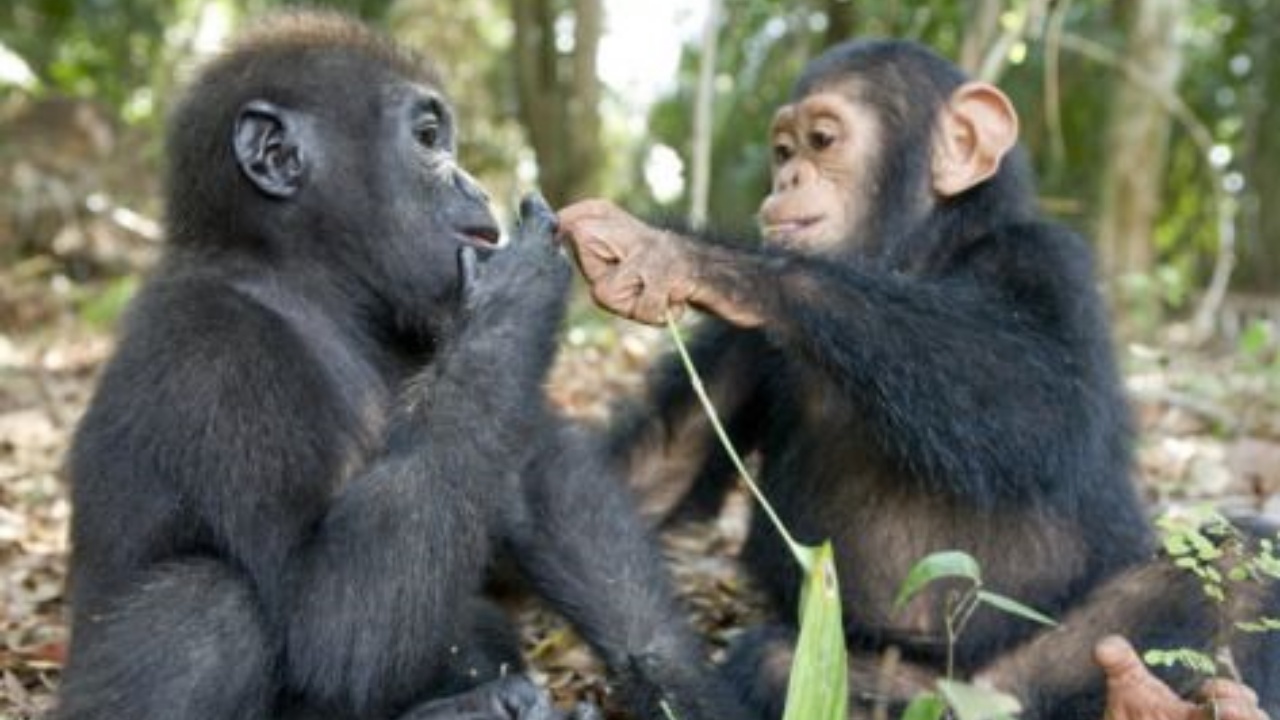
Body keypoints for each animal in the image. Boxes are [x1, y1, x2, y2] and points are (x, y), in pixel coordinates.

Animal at [57, 11, 747, 717]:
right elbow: (330, 619)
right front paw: (517, 286)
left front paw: (680, 685)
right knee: (203, 611)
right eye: (427, 139)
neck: (309, 284)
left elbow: (540, 482)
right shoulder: (214, 354)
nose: (473, 184)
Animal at [555, 37, 1274, 717]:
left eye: (821, 141)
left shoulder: (1048, 263)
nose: (786, 178)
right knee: (782, 666)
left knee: (1241, 564)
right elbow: (660, 468)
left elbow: (1030, 397)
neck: (922, 257)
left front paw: (690, 259)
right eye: (782, 149)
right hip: (891, 676)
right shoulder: (737, 347)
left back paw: (1157, 701)